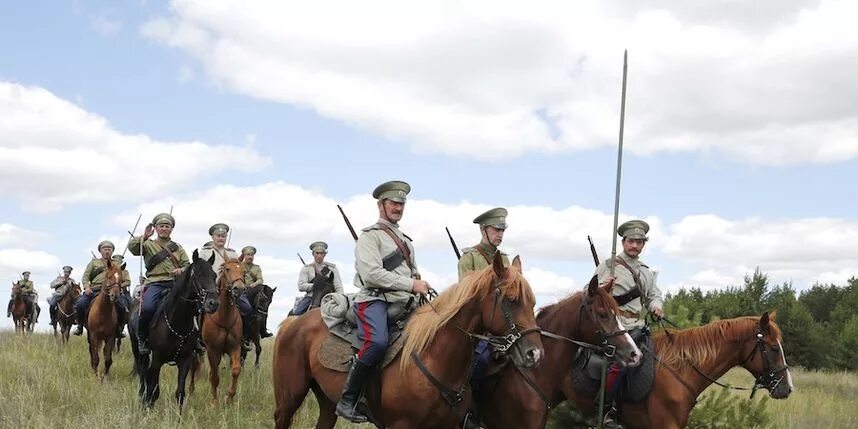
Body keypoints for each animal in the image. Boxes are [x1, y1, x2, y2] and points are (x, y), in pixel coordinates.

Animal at [130, 249, 219, 410]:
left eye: (214, 275)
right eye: (197, 274)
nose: (213, 303)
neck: (177, 321)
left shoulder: (185, 361)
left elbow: (180, 393)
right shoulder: (157, 360)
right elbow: (154, 389)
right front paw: (147, 406)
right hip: (138, 351)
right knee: (142, 373)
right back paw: (141, 397)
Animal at [197, 258, 244, 404]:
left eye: (243, 270)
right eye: (227, 269)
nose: (239, 288)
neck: (224, 317)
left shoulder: (235, 347)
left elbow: (235, 370)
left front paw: (229, 397)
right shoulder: (213, 350)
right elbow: (215, 376)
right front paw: (214, 402)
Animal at [274, 252, 540, 426]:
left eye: (533, 302)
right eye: (511, 300)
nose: (535, 354)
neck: (435, 357)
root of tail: (293, 323)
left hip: (327, 401)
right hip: (290, 398)